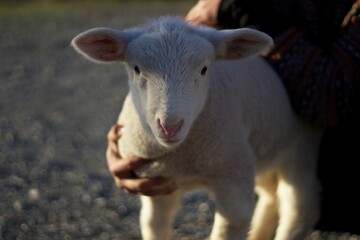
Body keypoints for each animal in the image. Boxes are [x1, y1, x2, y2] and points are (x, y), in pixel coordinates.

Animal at [71, 16, 322, 240]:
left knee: (299, 208)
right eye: (136, 69)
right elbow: (153, 224)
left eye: (204, 69)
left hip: (299, 150)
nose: (170, 126)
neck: (182, 160)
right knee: (271, 197)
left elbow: (230, 226)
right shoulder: (158, 185)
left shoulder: (232, 179)